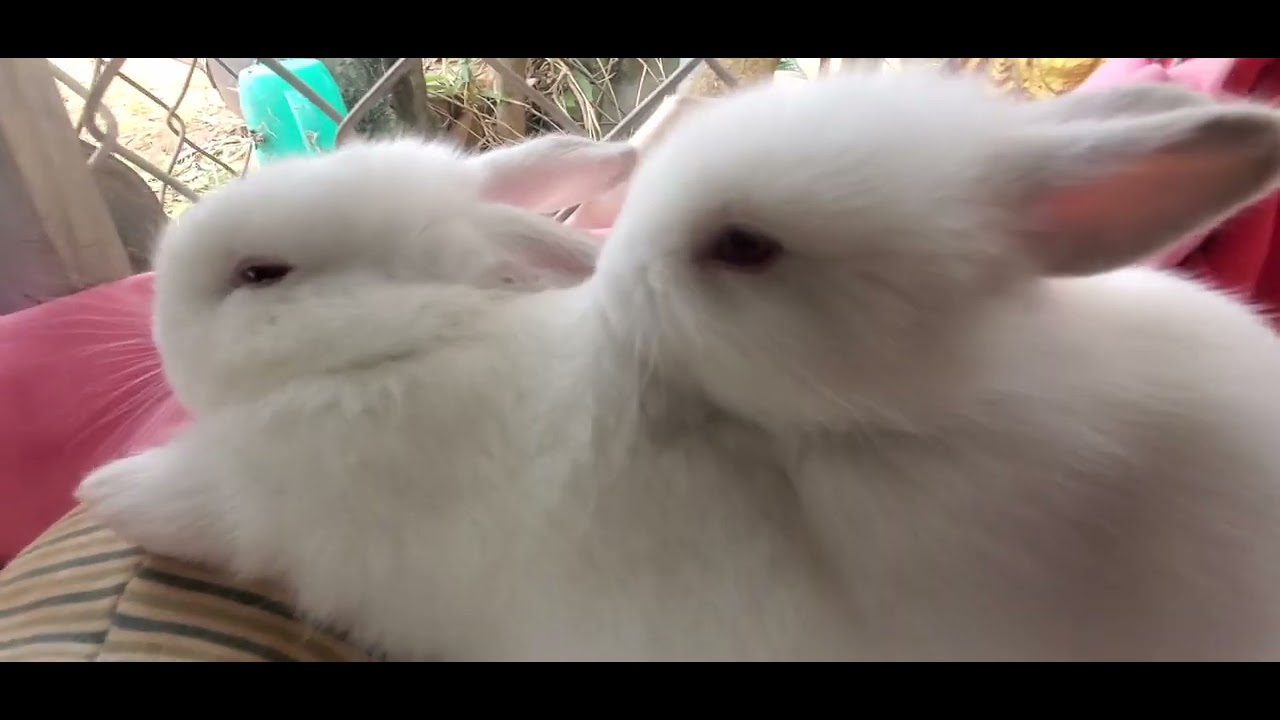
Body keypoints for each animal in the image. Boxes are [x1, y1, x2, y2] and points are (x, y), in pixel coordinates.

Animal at [75, 130, 862, 662]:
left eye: (260, 272)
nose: (158, 334)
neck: (410, 342)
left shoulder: (266, 503)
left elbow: (185, 506)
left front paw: (101, 491)